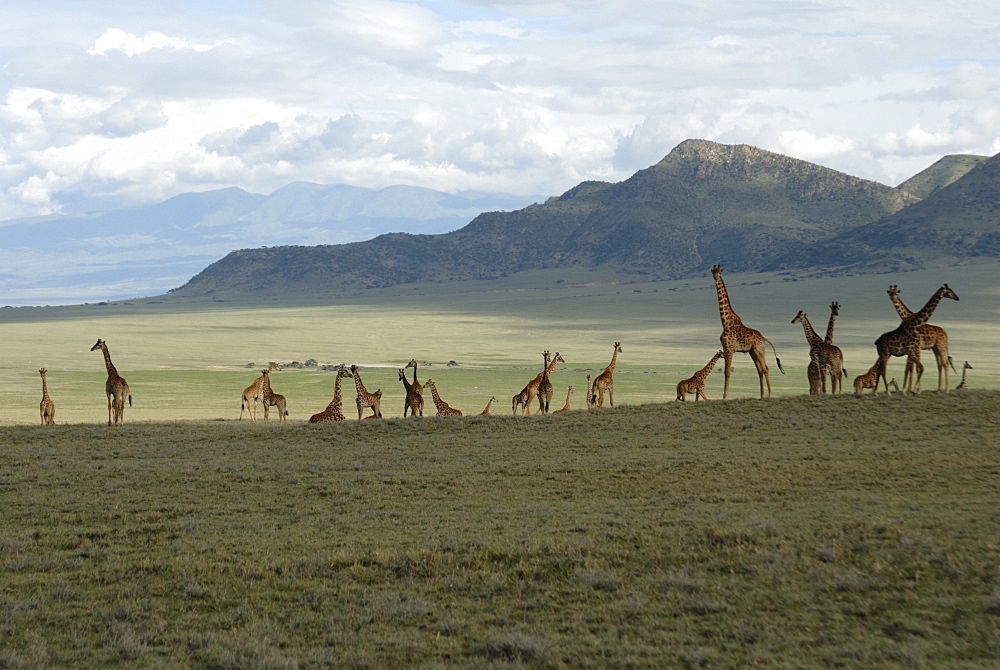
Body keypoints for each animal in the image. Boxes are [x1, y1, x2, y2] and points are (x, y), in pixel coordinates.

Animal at [708, 266, 784, 400]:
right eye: (713, 272)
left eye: (719, 272)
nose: (716, 279)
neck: (725, 322)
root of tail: (763, 338)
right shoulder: (726, 349)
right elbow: (727, 372)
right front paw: (725, 395)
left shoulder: (729, 348)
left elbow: (727, 372)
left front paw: (725, 396)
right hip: (752, 352)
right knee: (760, 370)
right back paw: (761, 395)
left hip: (759, 350)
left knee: (765, 368)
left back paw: (769, 394)